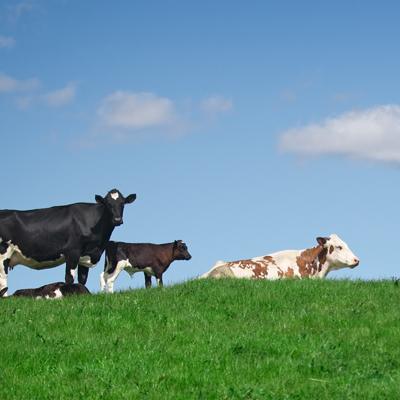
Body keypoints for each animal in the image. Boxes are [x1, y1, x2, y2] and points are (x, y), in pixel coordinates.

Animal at [0, 189, 136, 296]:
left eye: (122, 203)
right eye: (108, 204)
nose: (117, 219)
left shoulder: (85, 256)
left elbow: (82, 279)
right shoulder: (72, 252)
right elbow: (69, 278)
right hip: (3, 253)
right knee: (3, 281)